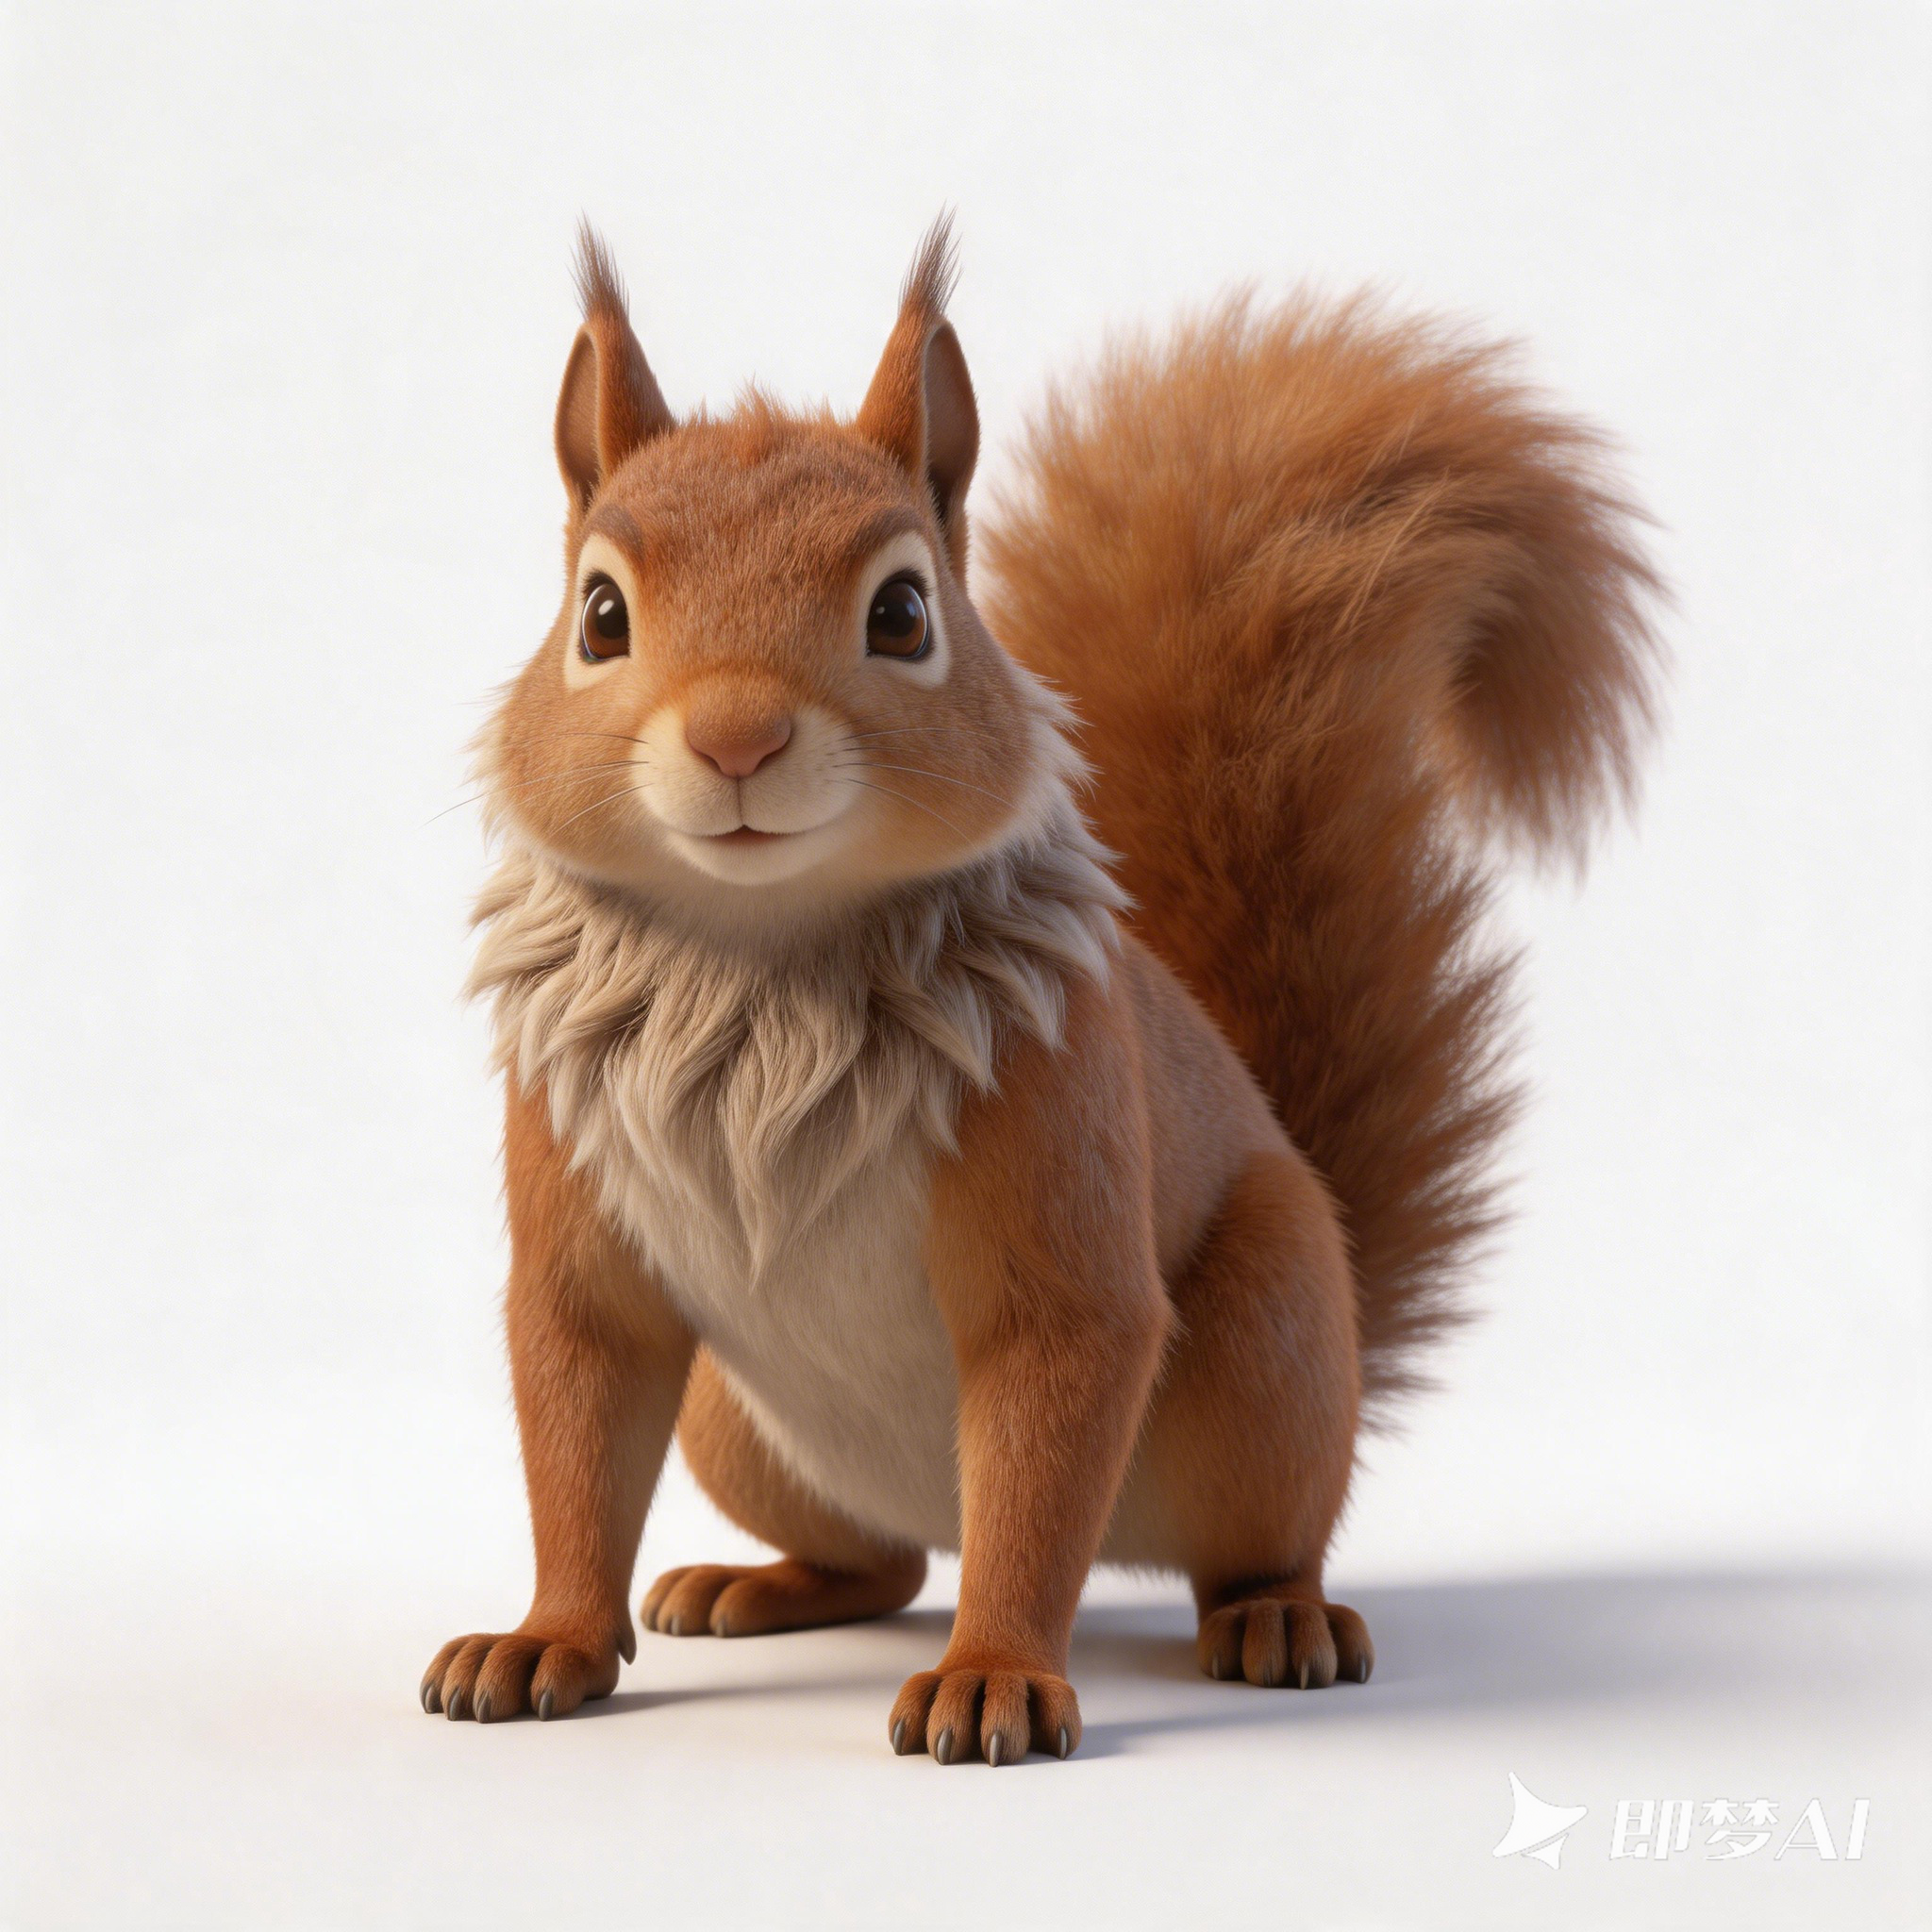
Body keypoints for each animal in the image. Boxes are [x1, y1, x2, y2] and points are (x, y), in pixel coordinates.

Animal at [422, 218, 1661, 1762]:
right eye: (598, 614)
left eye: (904, 611)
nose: (737, 737)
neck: (762, 961)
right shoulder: (572, 1175)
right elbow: (577, 1406)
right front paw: (545, 1640)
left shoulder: (1053, 1125)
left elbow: (1056, 1364)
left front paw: (995, 1674)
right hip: (739, 1426)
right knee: (885, 1557)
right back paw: (758, 1583)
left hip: (1265, 1349)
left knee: (1204, 1537)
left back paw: (1277, 1618)